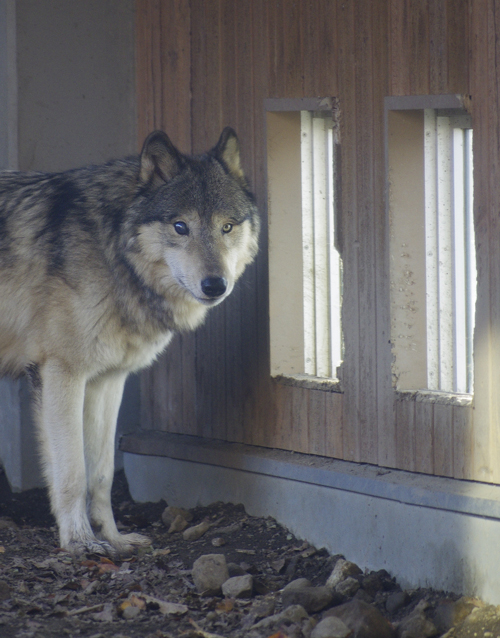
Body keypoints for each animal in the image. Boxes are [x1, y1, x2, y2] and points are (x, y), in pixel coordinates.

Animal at [0, 129, 258, 556]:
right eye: (180, 226)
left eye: (226, 227)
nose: (215, 285)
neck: (112, 251)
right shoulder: (60, 374)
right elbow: (72, 472)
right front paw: (80, 542)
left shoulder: (106, 381)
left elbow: (101, 474)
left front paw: (113, 538)